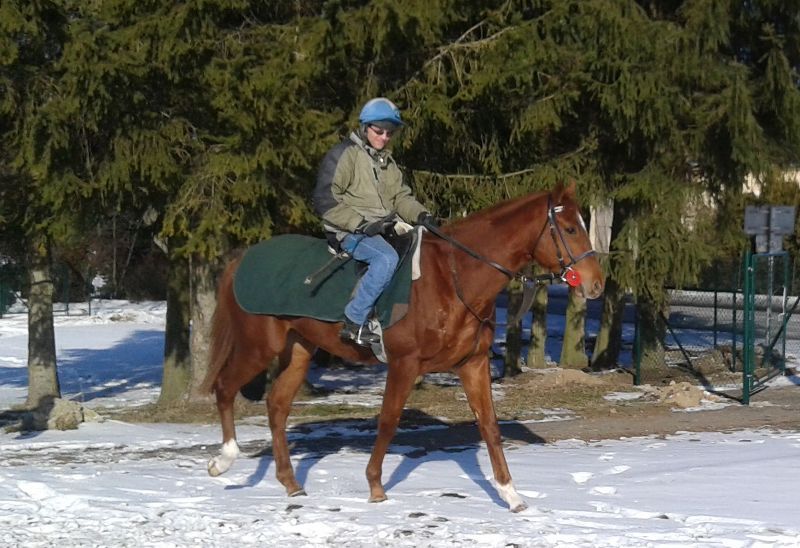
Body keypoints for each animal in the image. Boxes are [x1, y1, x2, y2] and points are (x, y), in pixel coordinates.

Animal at [198, 182, 600, 512]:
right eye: (569, 229)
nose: (595, 284)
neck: (454, 277)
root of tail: (241, 259)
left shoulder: (473, 364)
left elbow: (489, 425)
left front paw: (510, 494)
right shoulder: (404, 364)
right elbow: (389, 421)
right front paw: (376, 487)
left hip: (299, 350)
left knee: (277, 406)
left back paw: (290, 483)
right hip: (257, 347)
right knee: (225, 388)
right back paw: (224, 460)